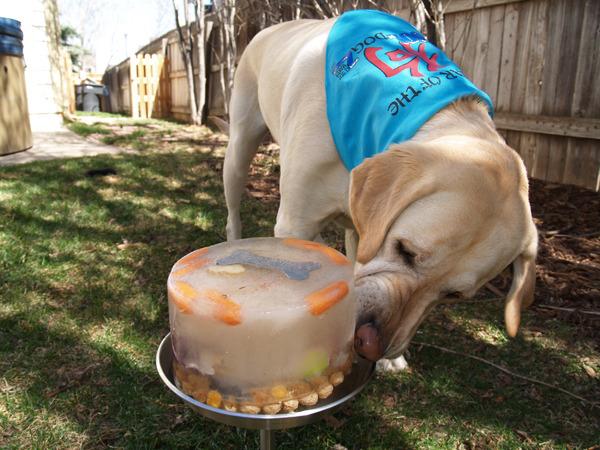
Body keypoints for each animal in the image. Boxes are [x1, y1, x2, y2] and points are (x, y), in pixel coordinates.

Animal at [221, 14, 540, 370]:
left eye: (453, 295)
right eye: (405, 250)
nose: (370, 346)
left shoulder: (363, 231)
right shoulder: (295, 221)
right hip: (239, 150)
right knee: (234, 208)